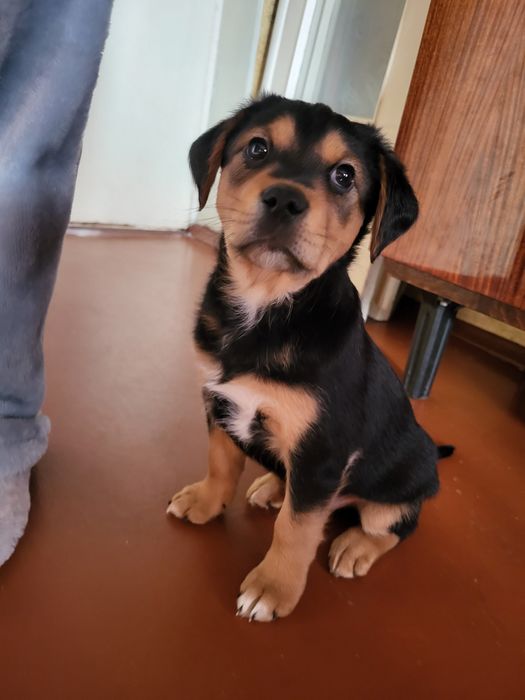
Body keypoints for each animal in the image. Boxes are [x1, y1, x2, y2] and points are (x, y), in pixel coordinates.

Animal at [167, 95, 451, 622]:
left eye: (344, 175)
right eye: (257, 148)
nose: (285, 199)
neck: (266, 308)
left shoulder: (322, 448)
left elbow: (296, 529)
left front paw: (273, 588)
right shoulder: (219, 400)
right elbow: (221, 462)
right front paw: (206, 501)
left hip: (398, 485)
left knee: (395, 524)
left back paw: (356, 546)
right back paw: (272, 487)